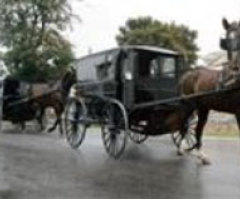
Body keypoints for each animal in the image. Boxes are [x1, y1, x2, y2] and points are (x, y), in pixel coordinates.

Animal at [178, 18, 240, 165]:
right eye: (226, 40)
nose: (234, 68)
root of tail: (188, 73)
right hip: (189, 105)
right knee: (184, 124)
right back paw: (181, 149)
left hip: (203, 108)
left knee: (198, 129)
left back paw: (201, 155)